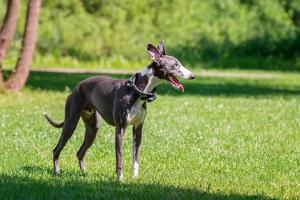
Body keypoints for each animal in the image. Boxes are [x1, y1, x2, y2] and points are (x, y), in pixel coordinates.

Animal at [44, 41, 195, 180]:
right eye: (175, 65)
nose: (193, 76)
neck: (137, 91)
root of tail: (77, 87)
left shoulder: (138, 128)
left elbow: (136, 156)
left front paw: (135, 177)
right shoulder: (120, 129)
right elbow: (120, 156)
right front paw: (120, 178)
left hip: (93, 128)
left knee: (80, 152)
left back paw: (84, 173)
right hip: (71, 123)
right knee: (56, 149)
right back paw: (57, 171)